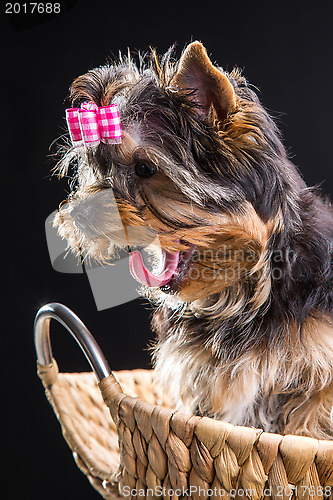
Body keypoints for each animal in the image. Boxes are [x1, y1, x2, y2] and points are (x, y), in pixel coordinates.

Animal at [54, 41, 332, 438]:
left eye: (145, 169)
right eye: (96, 168)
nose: (80, 214)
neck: (248, 290)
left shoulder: (317, 371)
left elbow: (311, 425)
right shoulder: (201, 378)